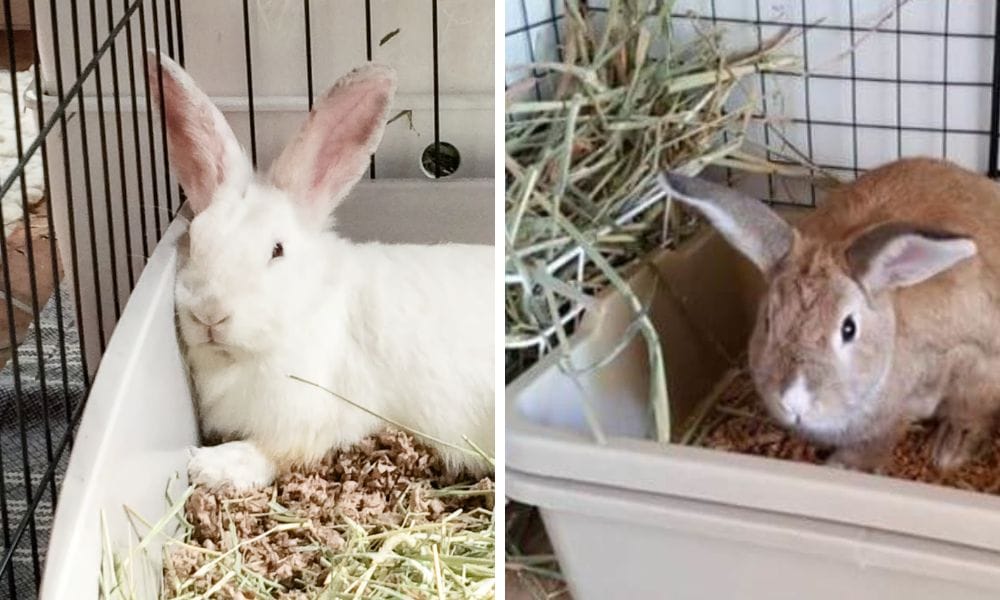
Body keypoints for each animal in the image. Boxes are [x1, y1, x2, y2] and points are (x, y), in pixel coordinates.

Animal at [147, 52, 494, 489]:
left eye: (277, 250)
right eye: (196, 239)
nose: (210, 315)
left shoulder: (306, 419)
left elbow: (272, 452)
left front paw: (211, 466)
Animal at [658, 157, 1000, 472]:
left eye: (849, 329)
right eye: (768, 321)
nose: (793, 400)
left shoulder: (961, 367)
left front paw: (845, 466)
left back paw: (948, 448)